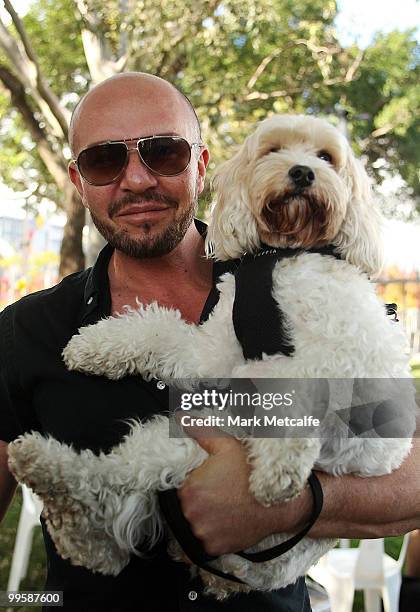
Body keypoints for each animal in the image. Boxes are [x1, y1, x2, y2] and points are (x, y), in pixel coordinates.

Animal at [8, 113, 416, 596]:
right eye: (273, 151)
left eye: (326, 157)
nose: (302, 173)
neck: (285, 251)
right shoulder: (216, 349)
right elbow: (158, 329)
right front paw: (93, 345)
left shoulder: (338, 355)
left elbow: (293, 392)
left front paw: (280, 471)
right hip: (178, 443)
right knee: (111, 487)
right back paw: (57, 489)